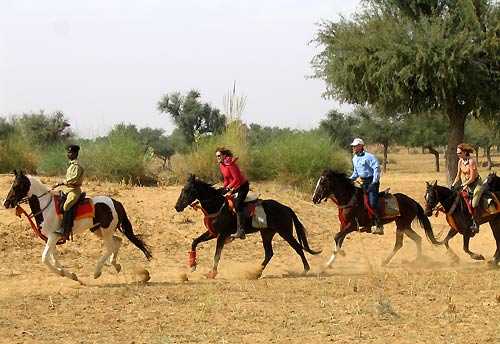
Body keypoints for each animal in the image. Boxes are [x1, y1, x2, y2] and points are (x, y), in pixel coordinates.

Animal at [2, 170, 151, 282]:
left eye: (16, 186)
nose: (6, 203)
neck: (46, 206)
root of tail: (115, 202)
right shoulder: (52, 238)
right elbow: (54, 259)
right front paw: (70, 275)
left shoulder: (53, 236)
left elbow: (45, 258)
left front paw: (65, 274)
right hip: (98, 230)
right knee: (118, 241)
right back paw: (116, 265)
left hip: (106, 231)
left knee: (110, 247)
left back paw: (97, 272)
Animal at [173, 176, 320, 278]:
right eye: (182, 189)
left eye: (187, 190)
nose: (177, 207)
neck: (217, 204)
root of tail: (286, 208)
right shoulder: (213, 233)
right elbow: (195, 242)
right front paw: (192, 265)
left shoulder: (221, 235)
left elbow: (217, 255)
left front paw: (212, 273)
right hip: (267, 234)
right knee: (269, 253)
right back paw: (256, 272)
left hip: (285, 232)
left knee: (298, 248)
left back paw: (305, 269)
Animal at [312, 169, 442, 268]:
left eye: (323, 182)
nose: (314, 198)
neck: (349, 199)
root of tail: (413, 201)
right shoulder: (343, 225)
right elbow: (339, 239)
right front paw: (328, 264)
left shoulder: (352, 226)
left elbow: (336, 237)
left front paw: (342, 253)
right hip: (405, 226)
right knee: (417, 239)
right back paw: (417, 260)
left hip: (401, 225)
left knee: (399, 244)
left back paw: (386, 261)